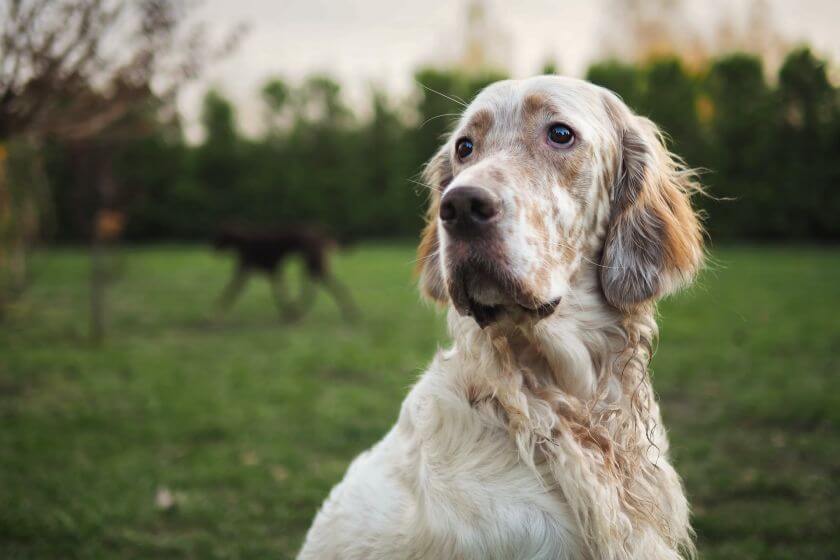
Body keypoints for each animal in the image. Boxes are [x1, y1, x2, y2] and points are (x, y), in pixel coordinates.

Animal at [213, 225, 358, 322]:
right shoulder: (272, 273)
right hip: (313, 267)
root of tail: (322, 236)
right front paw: (288, 312)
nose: (214, 249)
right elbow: (280, 293)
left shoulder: (251, 272)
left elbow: (231, 291)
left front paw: (217, 313)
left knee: (321, 288)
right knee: (320, 288)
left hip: (313, 267)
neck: (243, 242)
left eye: (221, 236)